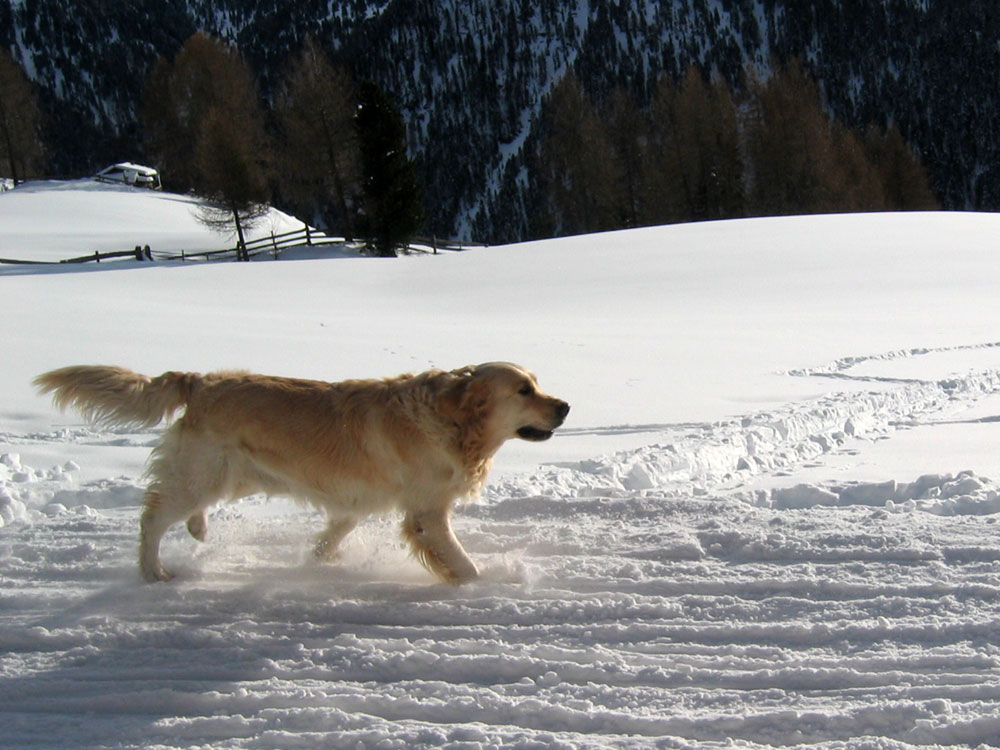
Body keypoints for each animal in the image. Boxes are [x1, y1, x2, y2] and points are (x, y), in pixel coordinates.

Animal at [35, 362, 568, 584]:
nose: (565, 405)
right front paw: (480, 583)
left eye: (537, 383)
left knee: (186, 507)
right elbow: (460, 560)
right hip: (204, 474)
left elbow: (332, 534)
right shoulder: (426, 512)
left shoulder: (357, 499)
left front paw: (320, 561)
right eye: (523, 390)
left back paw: (198, 529)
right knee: (151, 517)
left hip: (231, 474)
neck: (452, 420)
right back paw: (153, 572)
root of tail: (200, 381)